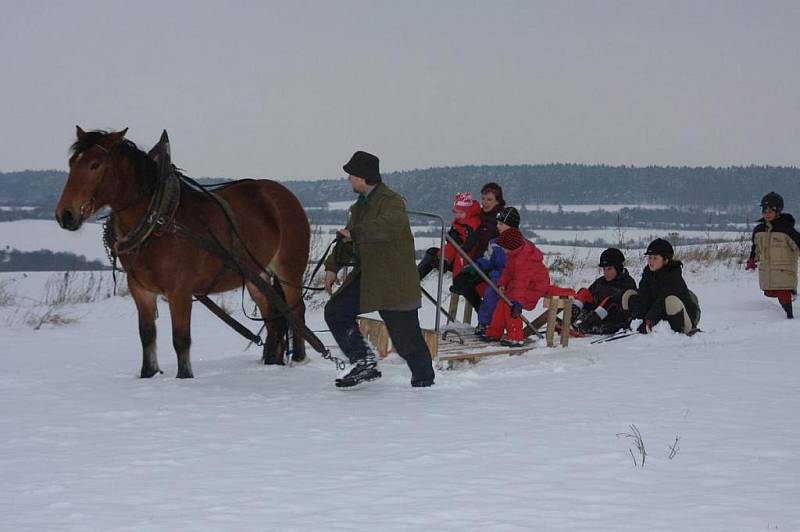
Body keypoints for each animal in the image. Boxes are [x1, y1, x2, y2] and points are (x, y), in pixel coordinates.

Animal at [55, 127, 310, 378]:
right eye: (72, 163)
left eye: (95, 165)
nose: (65, 215)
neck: (157, 219)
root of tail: (282, 194)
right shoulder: (140, 290)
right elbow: (147, 336)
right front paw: (148, 374)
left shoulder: (180, 291)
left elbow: (180, 339)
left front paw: (184, 377)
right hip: (256, 274)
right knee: (273, 316)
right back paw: (271, 361)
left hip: (289, 270)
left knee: (295, 309)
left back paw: (298, 358)